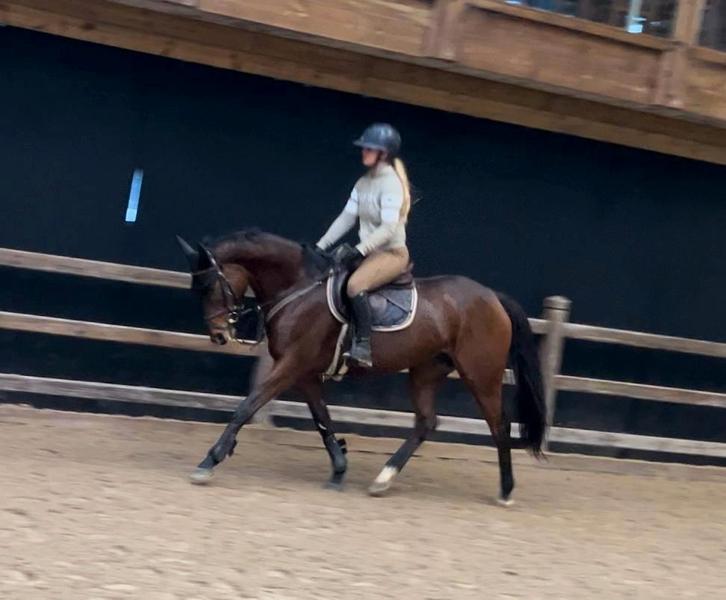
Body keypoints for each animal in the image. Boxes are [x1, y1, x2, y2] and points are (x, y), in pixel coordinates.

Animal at [177, 229, 546, 505]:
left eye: (210, 285)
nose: (219, 336)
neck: (299, 288)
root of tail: (493, 297)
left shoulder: (291, 365)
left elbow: (247, 407)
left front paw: (209, 461)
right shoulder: (305, 373)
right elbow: (322, 420)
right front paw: (339, 469)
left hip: (480, 374)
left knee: (499, 425)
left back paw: (506, 490)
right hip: (426, 370)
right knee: (426, 422)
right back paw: (383, 478)